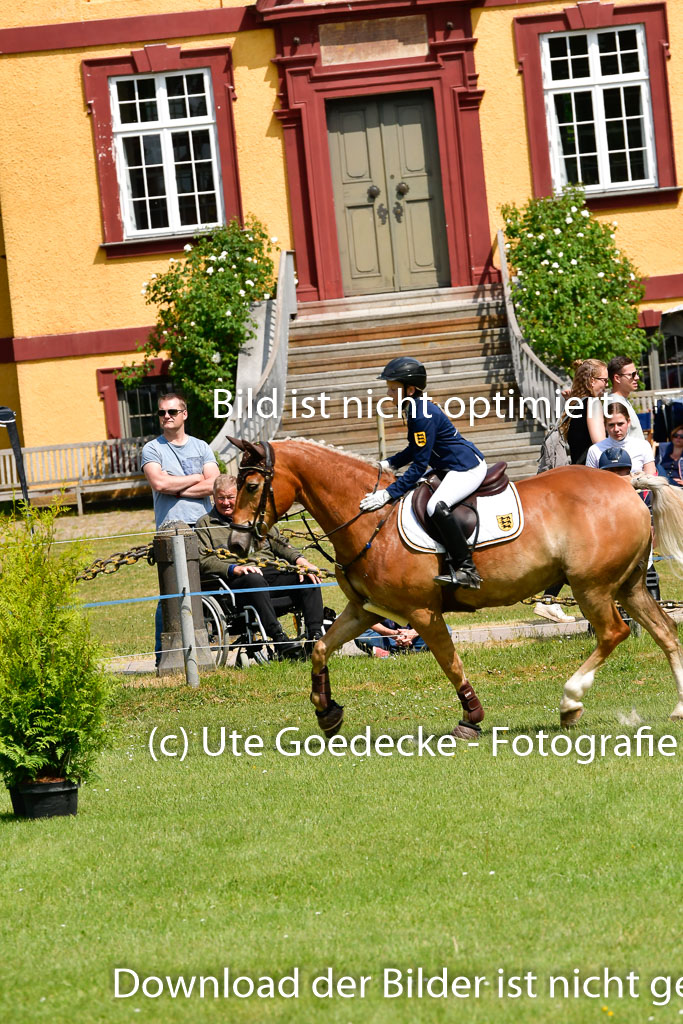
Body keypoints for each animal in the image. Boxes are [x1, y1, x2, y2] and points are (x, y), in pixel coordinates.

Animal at [227, 436, 683, 741]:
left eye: (251, 486)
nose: (235, 545)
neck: (369, 519)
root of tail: (626, 485)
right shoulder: (365, 610)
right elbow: (320, 647)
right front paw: (327, 713)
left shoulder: (422, 613)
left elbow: (451, 665)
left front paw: (471, 719)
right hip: (628, 586)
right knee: (666, 632)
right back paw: (678, 707)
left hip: (592, 587)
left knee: (614, 632)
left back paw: (570, 703)